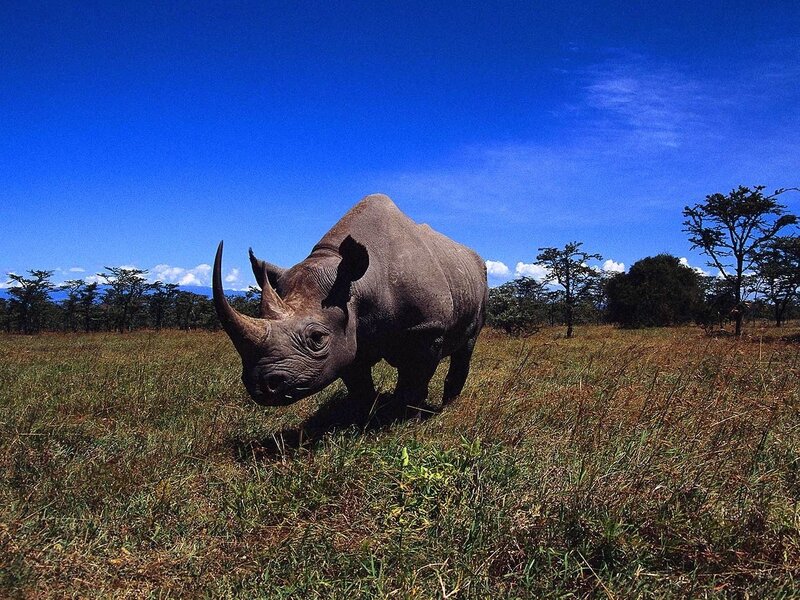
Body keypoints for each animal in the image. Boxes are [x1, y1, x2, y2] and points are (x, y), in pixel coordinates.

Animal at [213, 194, 487, 416]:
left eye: (317, 338)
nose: (260, 386)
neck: (361, 284)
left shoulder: (427, 328)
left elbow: (414, 379)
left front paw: (401, 419)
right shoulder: (348, 328)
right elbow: (358, 380)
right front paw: (364, 415)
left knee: (467, 345)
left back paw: (448, 406)